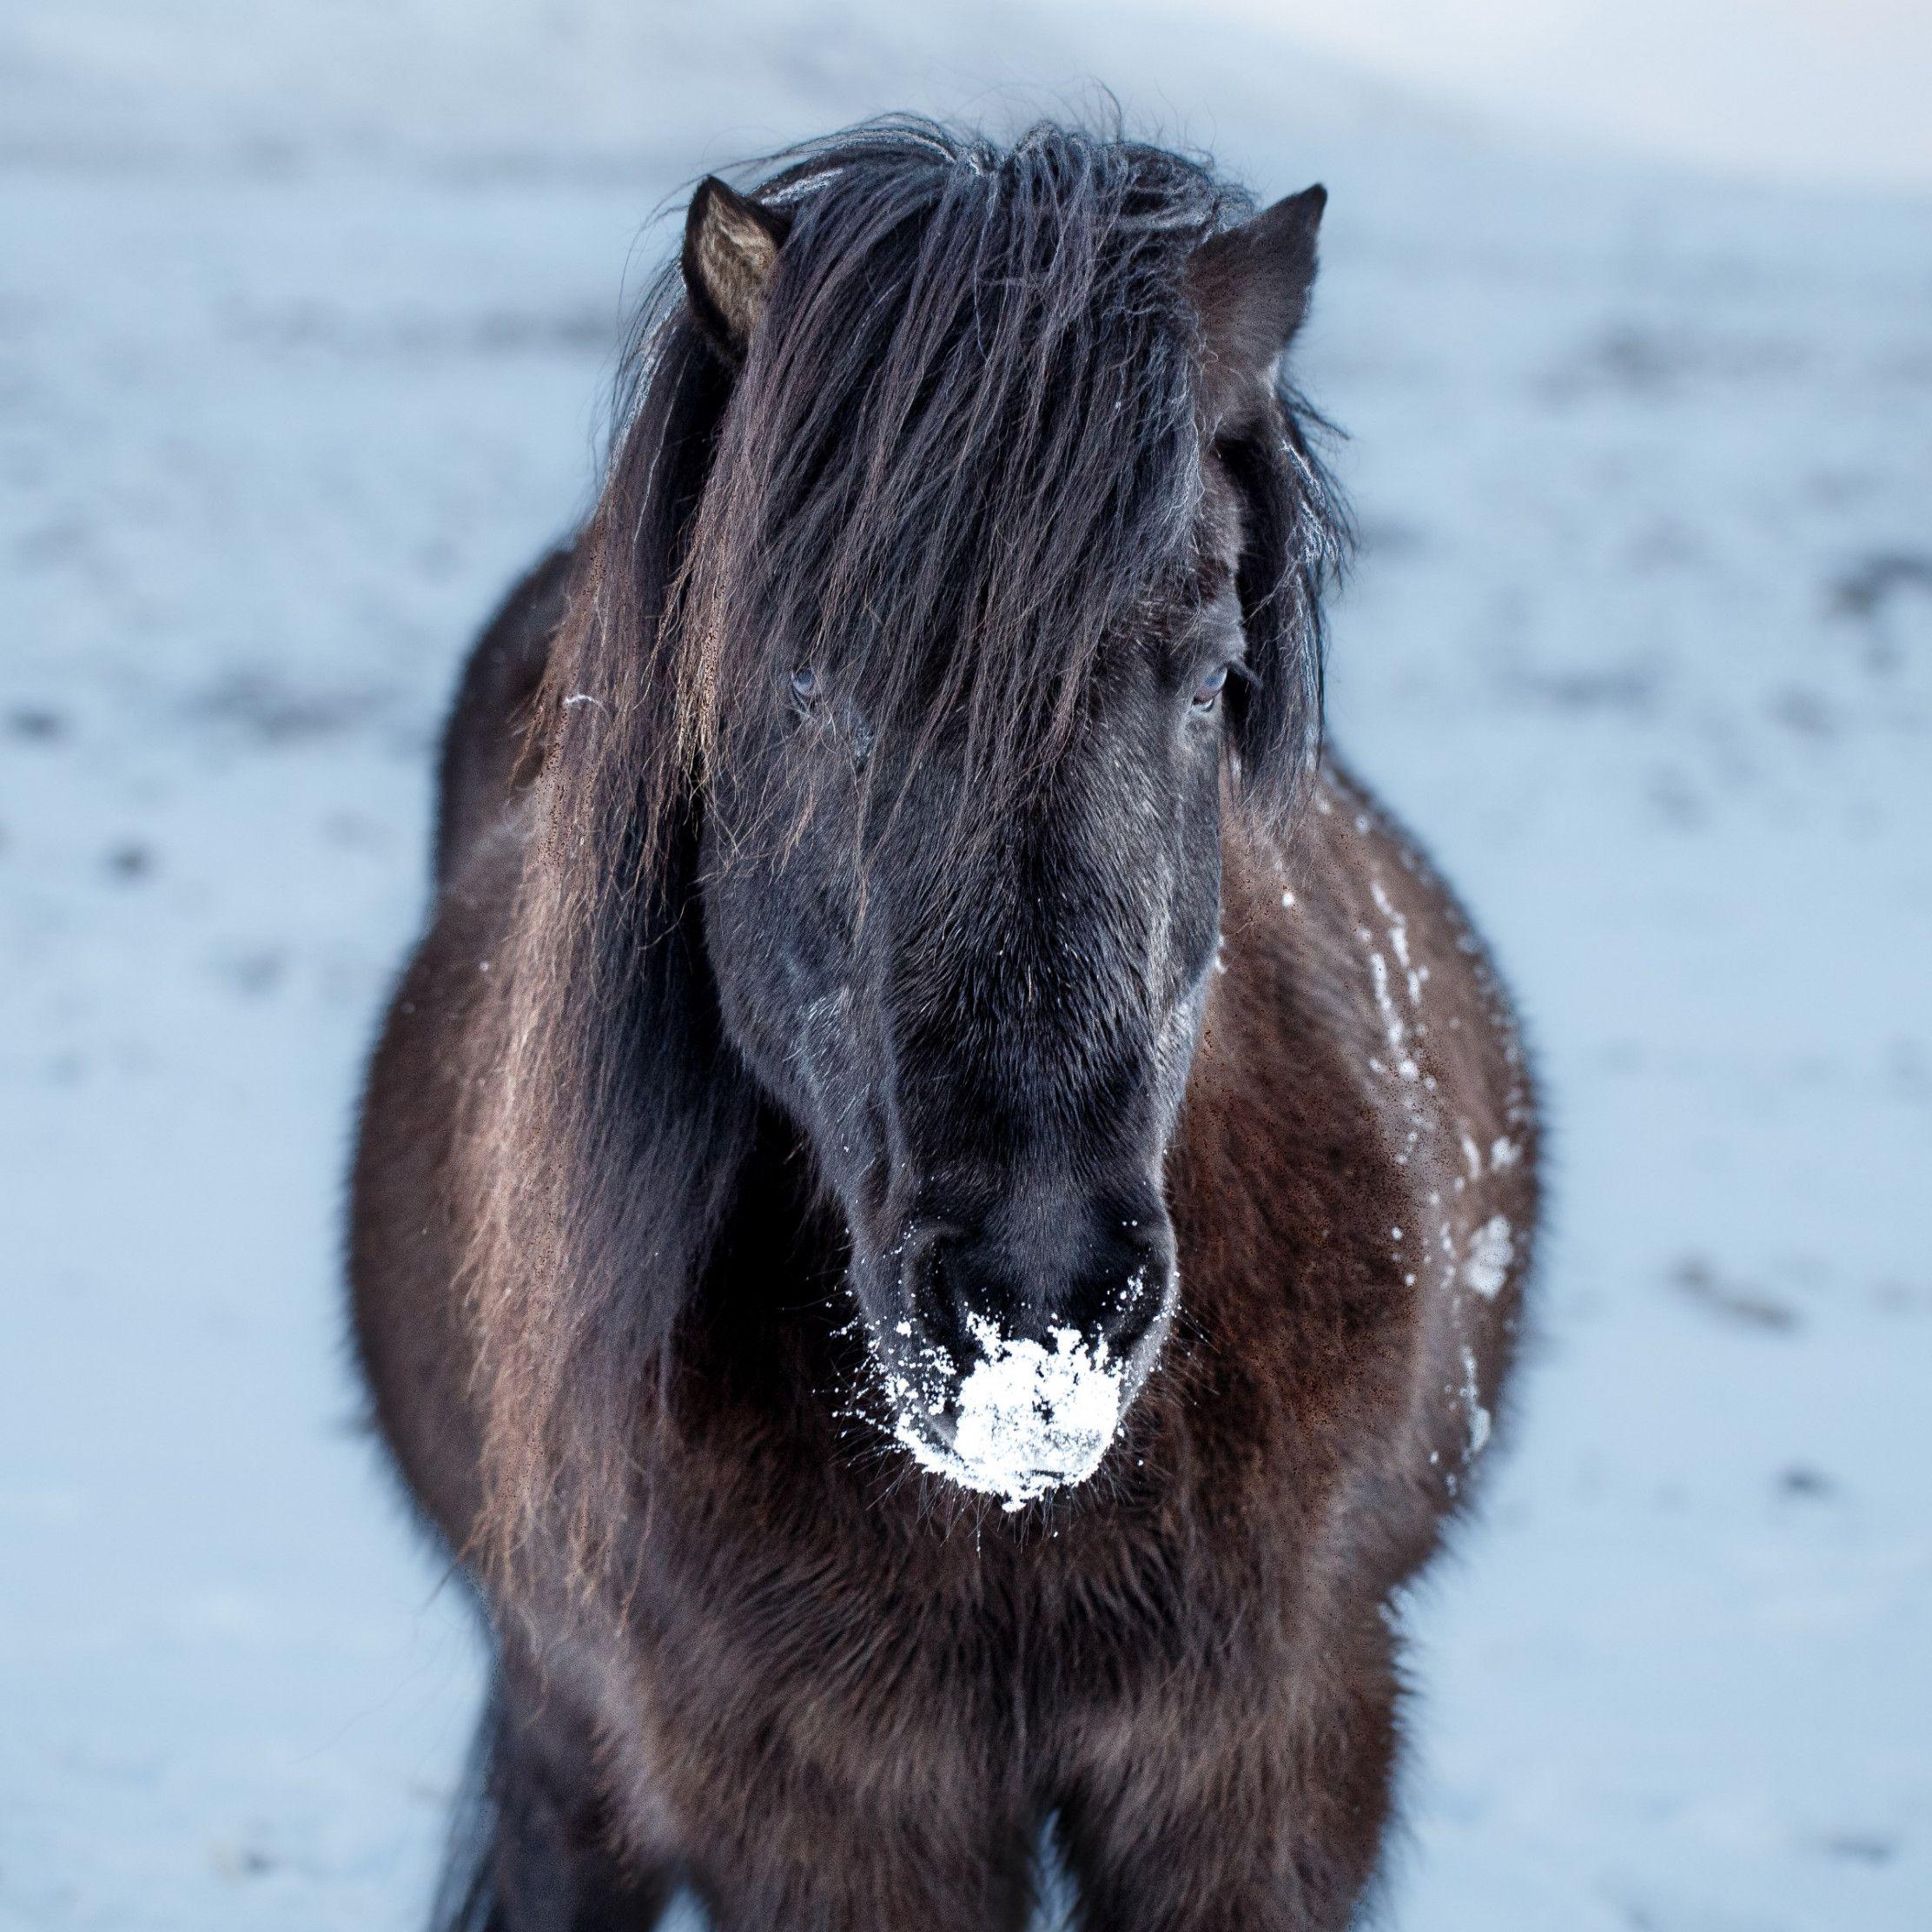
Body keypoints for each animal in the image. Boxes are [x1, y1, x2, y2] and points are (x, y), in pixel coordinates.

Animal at [349, 117, 1538, 1932]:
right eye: (800, 687)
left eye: (1211, 672)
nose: (1035, 1307)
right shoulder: (816, 1796)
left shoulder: (1267, 1751)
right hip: (566, 1717)